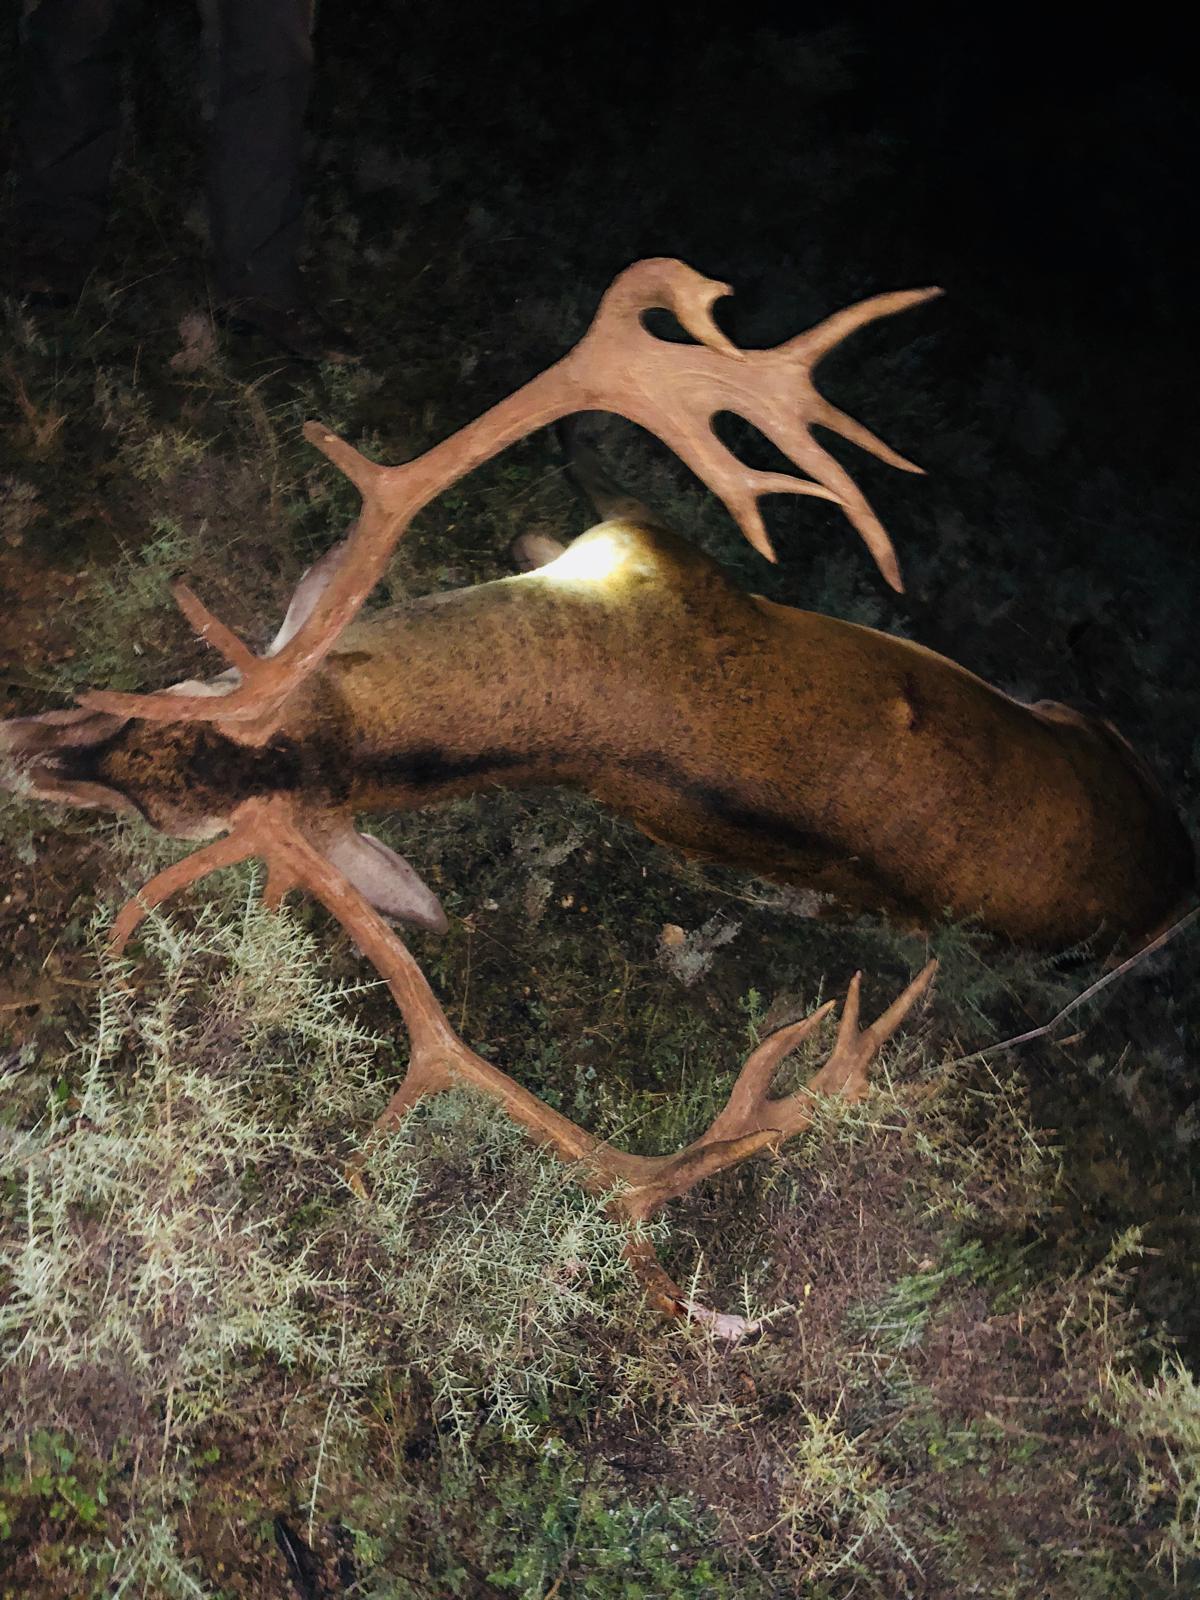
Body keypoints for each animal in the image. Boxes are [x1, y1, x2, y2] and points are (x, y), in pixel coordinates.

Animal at [0, 259, 1191, 1328]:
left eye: (158, 710)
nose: (22, 745)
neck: (600, 669)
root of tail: (1171, 885)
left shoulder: (650, 546)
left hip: (1093, 738)